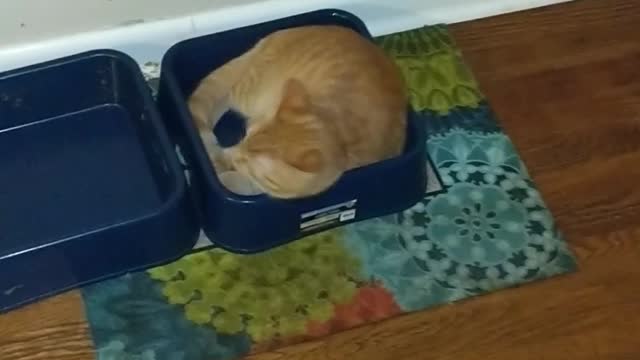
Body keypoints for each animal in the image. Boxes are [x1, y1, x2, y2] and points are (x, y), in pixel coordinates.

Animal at [188, 24, 408, 200]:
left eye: (249, 163)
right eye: (245, 136)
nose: (236, 159)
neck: (338, 132)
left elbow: (250, 185)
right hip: (249, 93)